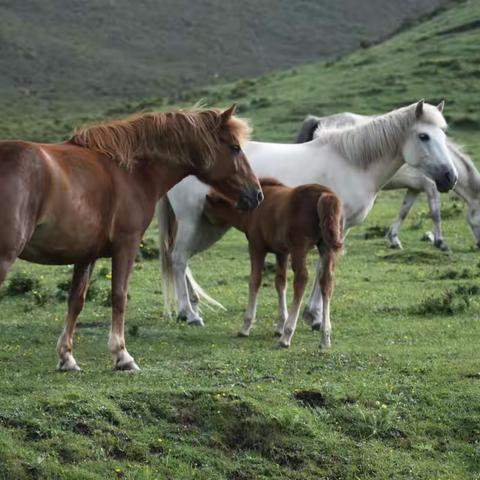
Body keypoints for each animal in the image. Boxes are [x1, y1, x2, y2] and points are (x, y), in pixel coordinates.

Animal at [0, 105, 262, 372]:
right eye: (235, 147)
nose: (257, 194)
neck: (131, 171)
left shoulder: (86, 255)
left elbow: (76, 300)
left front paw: (67, 357)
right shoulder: (126, 245)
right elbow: (119, 296)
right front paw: (122, 355)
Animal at [204, 176, 344, 348]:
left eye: (207, 206)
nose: (203, 216)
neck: (252, 210)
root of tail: (325, 195)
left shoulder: (256, 247)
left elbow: (255, 280)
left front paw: (246, 326)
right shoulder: (281, 252)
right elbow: (280, 283)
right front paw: (279, 326)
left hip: (299, 248)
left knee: (302, 279)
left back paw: (287, 336)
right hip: (326, 248)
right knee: (326, 283)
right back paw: (325, 337)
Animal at [296, 109, 480, 251]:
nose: (478, 246)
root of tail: (319, 121)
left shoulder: (415, 188)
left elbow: (404, 211)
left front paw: (394, 239)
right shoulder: (430, 186)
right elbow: (435, 213)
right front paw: (441, 243)